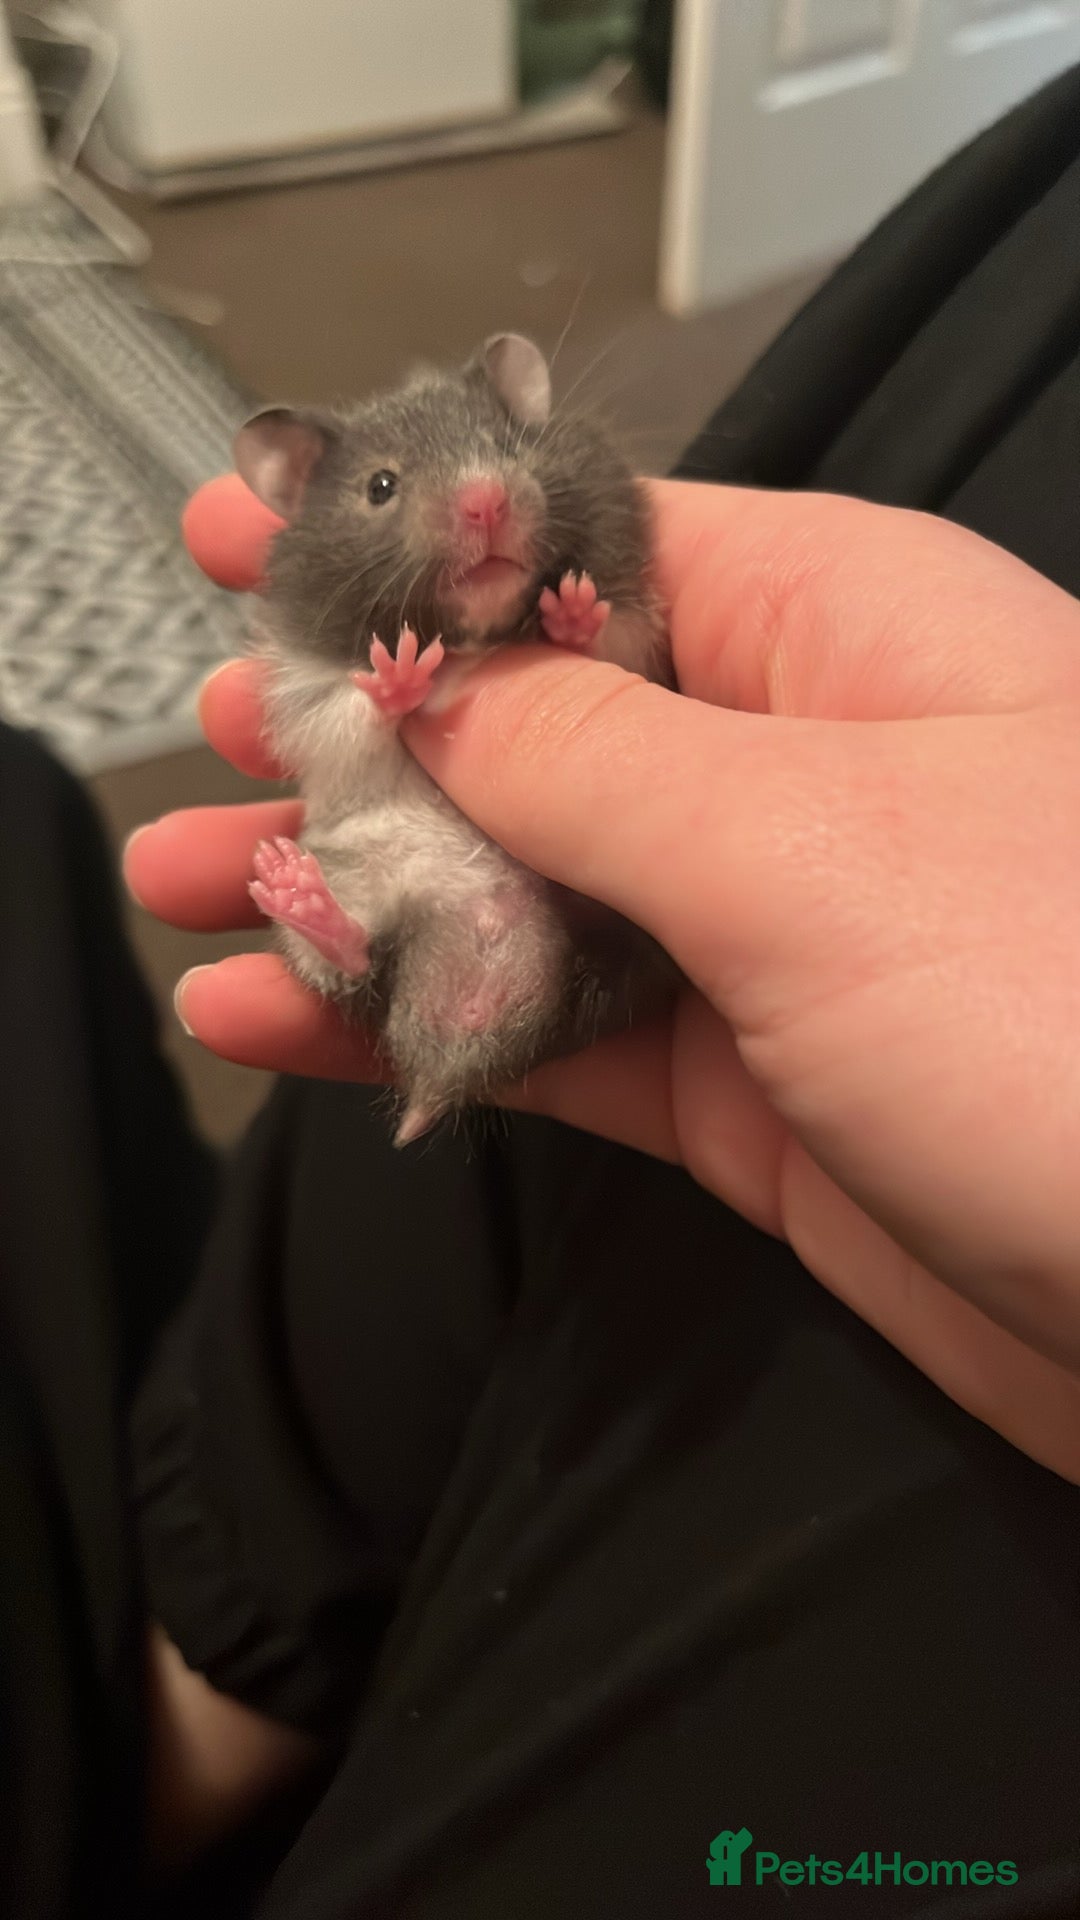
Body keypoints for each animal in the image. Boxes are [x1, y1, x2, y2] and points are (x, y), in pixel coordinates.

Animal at [235, 332, 675, 1144]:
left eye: (508, 446)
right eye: (381, 486)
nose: (486, 500)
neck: (479, 630)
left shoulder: (645, 642)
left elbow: (613, 644)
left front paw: (570, 613)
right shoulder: (308, 699)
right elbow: (353, 711)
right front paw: (400, 676)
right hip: (355, 878)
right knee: (355, 965)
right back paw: (293, 890)